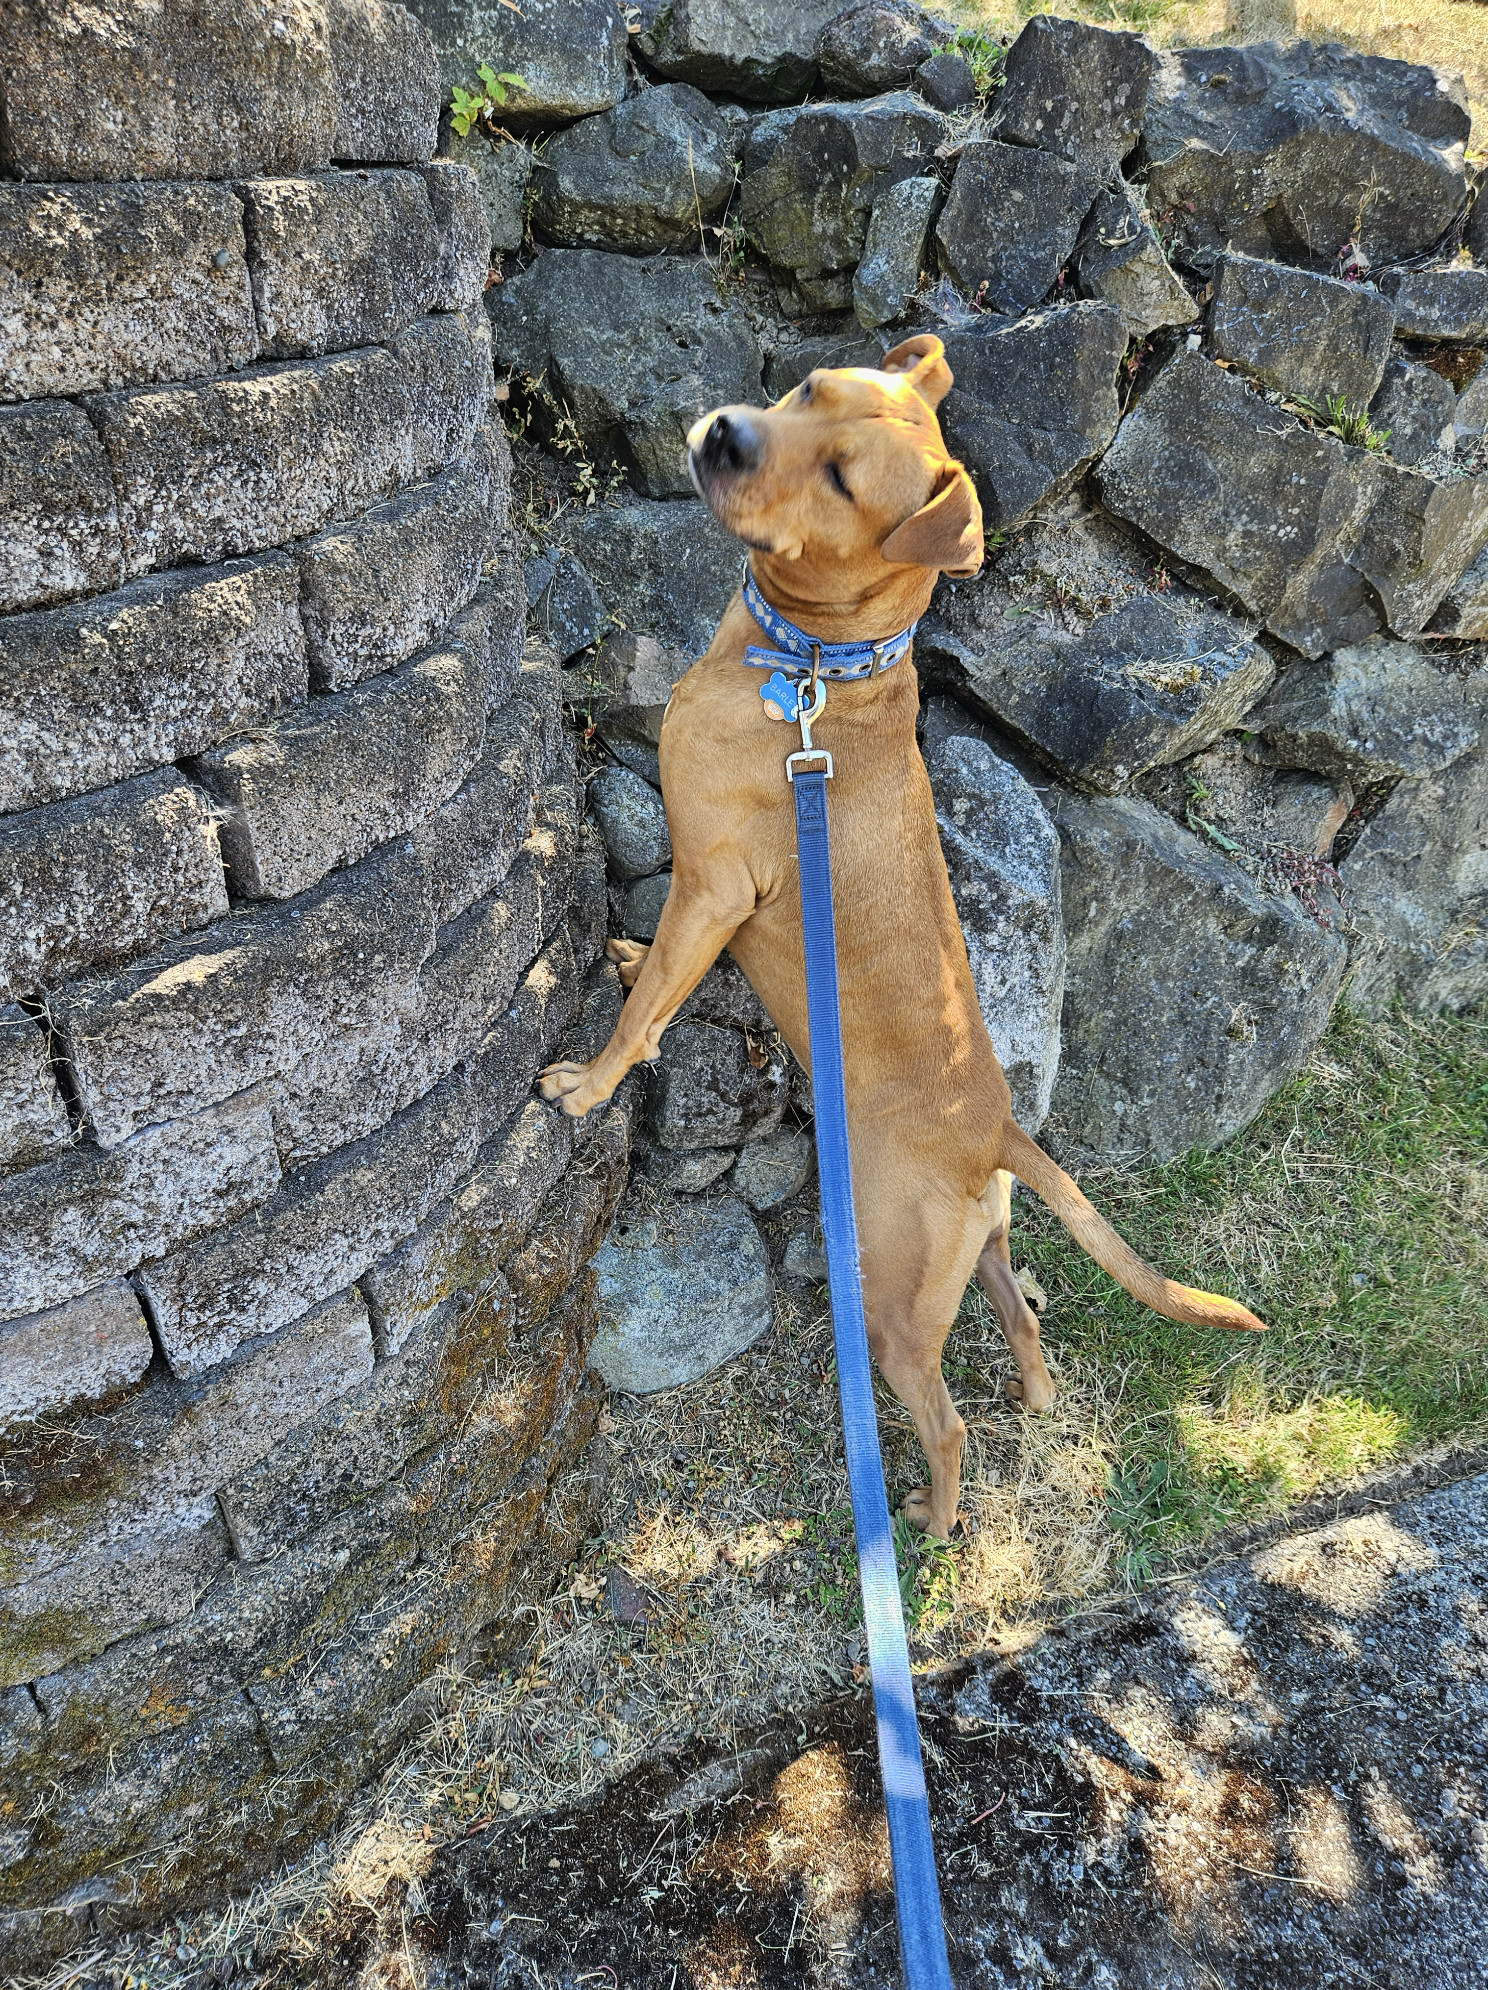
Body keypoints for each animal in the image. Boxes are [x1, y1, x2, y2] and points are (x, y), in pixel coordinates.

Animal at [541, 334, 1265, 1536]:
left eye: (843, 480)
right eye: (806, 390)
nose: (725, 433)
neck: (815, 678)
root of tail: (997, 1132)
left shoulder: (715, 887)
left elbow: (645, 1015)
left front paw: (590, 1085)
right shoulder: (700, 896)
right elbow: (664, 979)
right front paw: (634, 960)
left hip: (888, 1301)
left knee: (945, 1419)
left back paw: (930, 1517)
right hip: (973, 1252)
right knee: (1023, 1325)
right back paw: (1033, 1399)